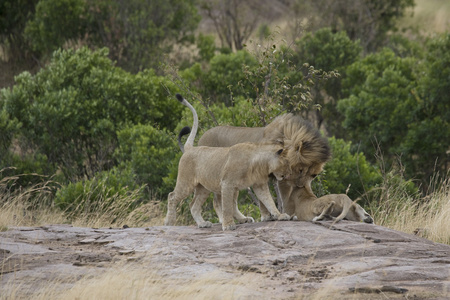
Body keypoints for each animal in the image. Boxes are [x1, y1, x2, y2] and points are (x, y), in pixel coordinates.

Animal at [163, 95, 290, 231]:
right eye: (286, 164)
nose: (287, 176)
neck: (260, 164)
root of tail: (190, 148)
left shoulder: (259, 184)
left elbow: (269, 201)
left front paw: (280, 215)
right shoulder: (227, 183)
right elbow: (227, 206)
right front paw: (228, 225)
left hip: (204, 187)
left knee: (193, 205)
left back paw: (203, 224)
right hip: (186, 182)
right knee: (172, 196)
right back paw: (169, 222)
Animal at [178, 111, 330, 221]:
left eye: (313, 175)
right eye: (300, 169)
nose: (300, 186)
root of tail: (203, 136)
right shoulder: (273, 176)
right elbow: (270, 199)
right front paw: (267, 217)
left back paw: (242, 219)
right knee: (217, 201)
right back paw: (223, 220)